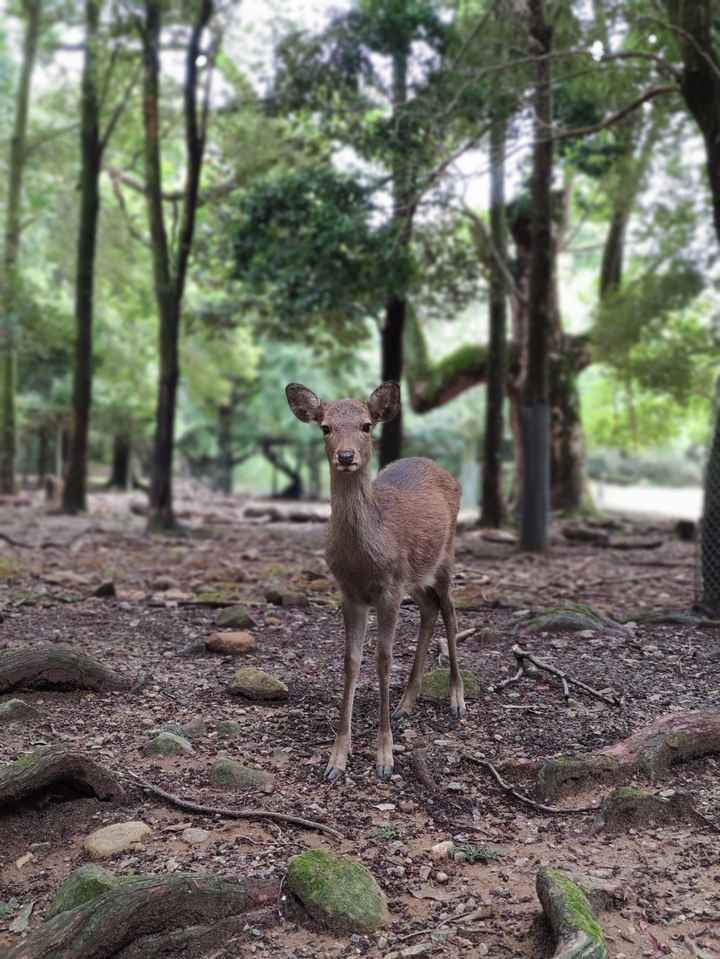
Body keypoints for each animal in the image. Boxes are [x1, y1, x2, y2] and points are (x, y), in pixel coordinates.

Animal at [284, 378, 464, 784]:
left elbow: (383, 659)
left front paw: (385, 757)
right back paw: (406, 703)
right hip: (415, 576)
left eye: (367, 425)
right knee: (429, 609)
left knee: (449, 611)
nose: (346, 456)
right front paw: (337, 758)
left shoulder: (388, 589)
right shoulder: (349, 592)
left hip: (445, 556)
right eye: (325, 427)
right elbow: (351, 660)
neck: (364, 558)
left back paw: (457, 700)